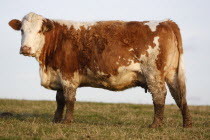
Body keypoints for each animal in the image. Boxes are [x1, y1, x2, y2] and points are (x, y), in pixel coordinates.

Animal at [8, 12, 192, 127]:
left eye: (39, 30)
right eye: (22, 30)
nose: (25, 48)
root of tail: (165, 22)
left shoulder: (68, 75)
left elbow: (69, 99)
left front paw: (67, 121)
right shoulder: (58, 76)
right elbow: (59, 100)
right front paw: (56, 120)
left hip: (153, 73)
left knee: (160, 95)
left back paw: (155, 124)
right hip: (172, 73)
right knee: (179, 95)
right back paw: (187, 124)